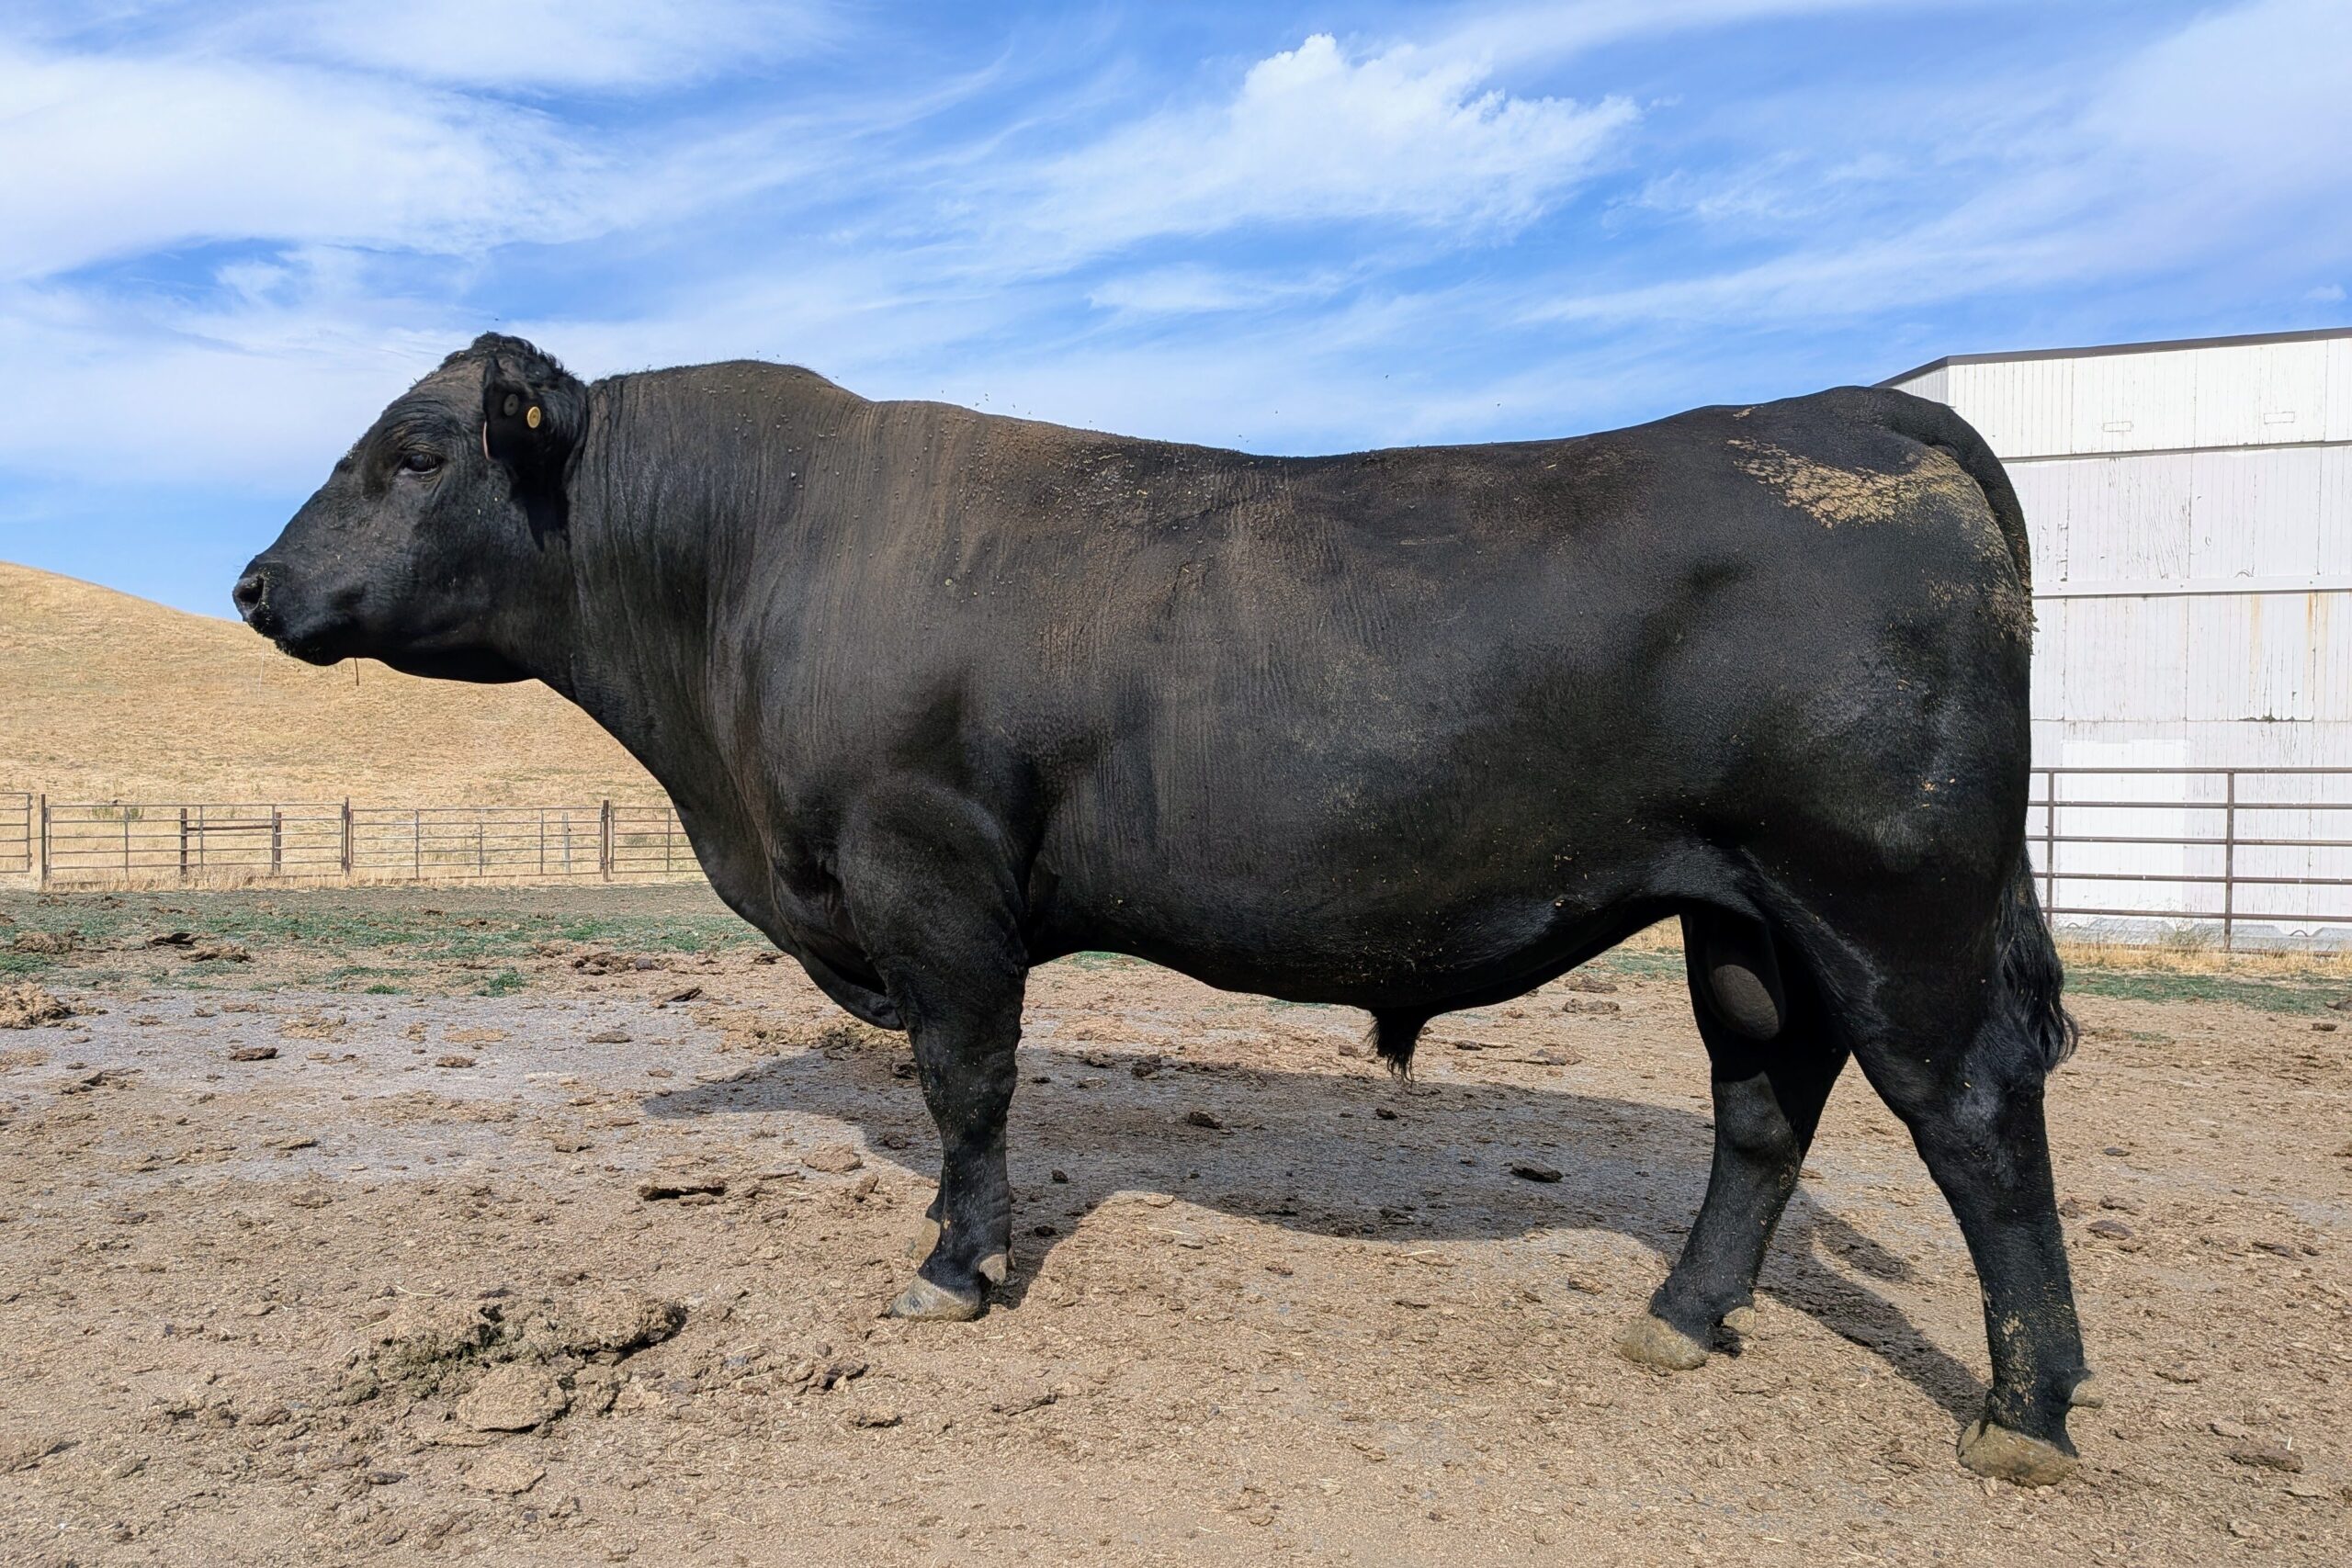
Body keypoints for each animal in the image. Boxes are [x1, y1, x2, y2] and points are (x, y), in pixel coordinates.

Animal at [236, 334, 2093, 1484]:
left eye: (417, 448)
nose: (252, 581)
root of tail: (1866, 412)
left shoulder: (933, 878)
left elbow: (969, 1085)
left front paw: (957, 1268)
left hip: (1894, 901)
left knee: (1979, 1118)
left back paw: (2026, 1410)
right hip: (1751, 918)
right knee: (1765, 1100)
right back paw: (1683, 1321)